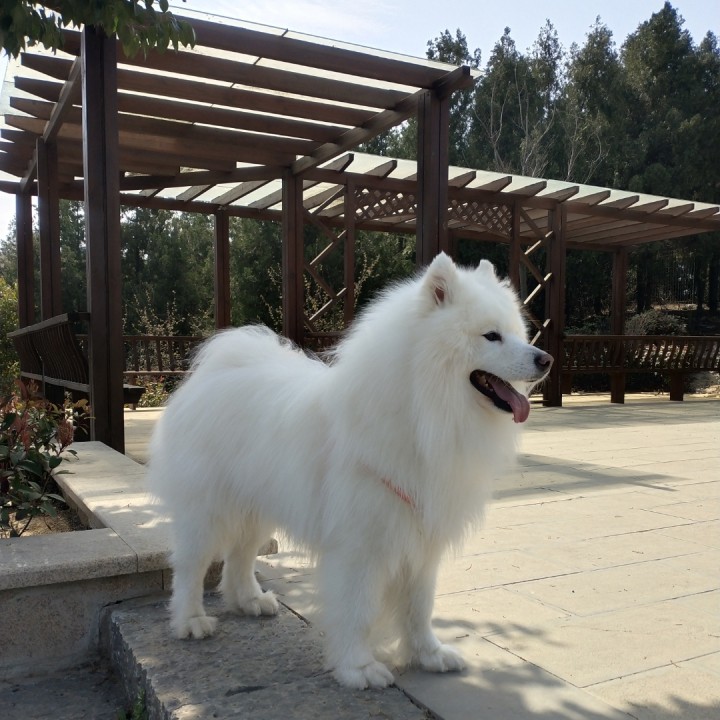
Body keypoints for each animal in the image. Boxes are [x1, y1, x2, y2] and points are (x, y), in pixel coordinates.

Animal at [147, 252, 553, 689]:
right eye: (491, 336)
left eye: (518, 334)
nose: (545, 359)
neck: (424, 409)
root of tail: (215, 370)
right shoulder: (361, 544)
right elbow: (358, 610)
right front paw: (359, 668)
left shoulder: (421, 538)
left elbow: (419, 607)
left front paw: (429, 655)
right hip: (207, 511)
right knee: (191, 566)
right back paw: (190, 621)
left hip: (258, 505)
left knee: (240, 556)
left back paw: (250, 601)